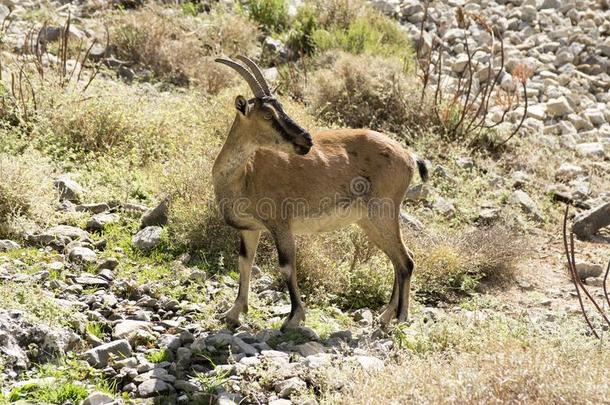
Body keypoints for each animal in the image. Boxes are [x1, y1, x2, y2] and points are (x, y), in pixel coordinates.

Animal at [214, 56, 428, 328]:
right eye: (268, 114)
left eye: (280, 108)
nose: (306, 140)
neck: (243, 176)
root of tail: (409, 156)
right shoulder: (249, 229)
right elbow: (245, 263)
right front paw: (233, 313)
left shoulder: (281, 225)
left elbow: (286, 265)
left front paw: (294, 318)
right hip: (369, 221)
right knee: (398, 259)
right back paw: (384, 316)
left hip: (384, 212)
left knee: (406, 261)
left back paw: (400, 317)